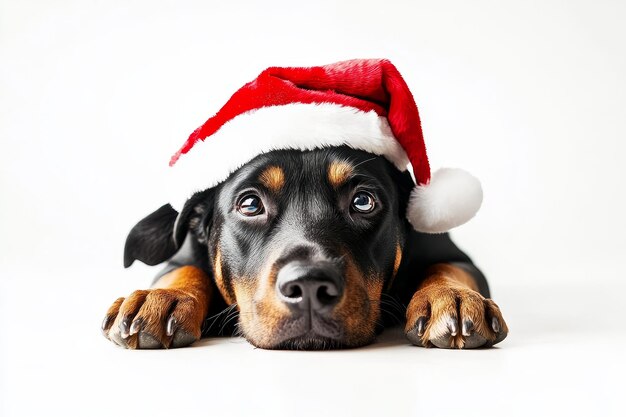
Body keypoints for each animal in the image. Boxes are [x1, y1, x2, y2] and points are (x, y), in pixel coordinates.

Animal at [100, 145, 504, 348]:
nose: (309, 287)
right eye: (250, 204)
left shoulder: (453, 255)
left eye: (363, 201)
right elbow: (182, 268)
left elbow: (448, 268)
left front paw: (451, 299)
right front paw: (162, 300)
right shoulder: (182, 254)